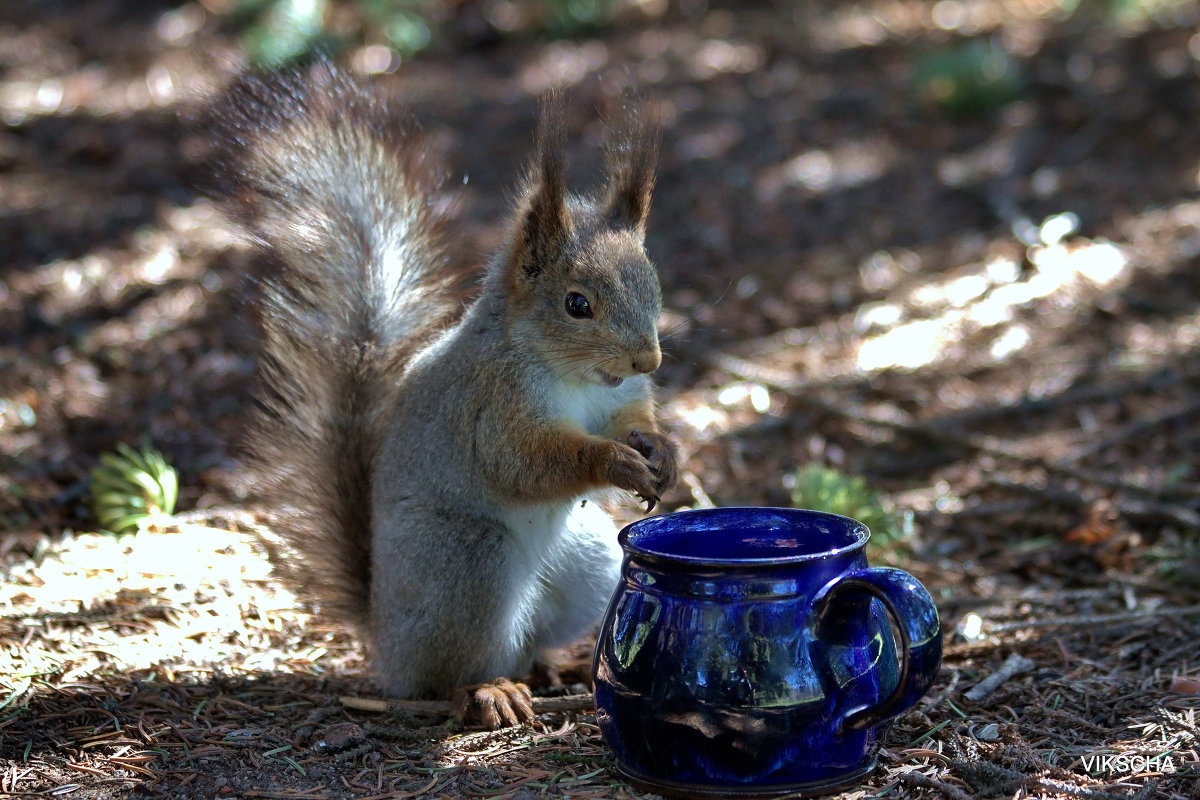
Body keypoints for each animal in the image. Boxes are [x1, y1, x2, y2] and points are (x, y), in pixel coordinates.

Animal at [205, 67, 676, 734]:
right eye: (577, 304)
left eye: (653, 284)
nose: (648, 361)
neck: (574, 374)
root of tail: (383, 640)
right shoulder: (488, 404)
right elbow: (523, 462)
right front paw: (613, 462)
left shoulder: (620, 399)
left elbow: (632, 419)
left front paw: (660, 451)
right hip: (466, 561)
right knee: (445, 674)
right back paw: (487, 692)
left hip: (586, 561)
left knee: (527, 639)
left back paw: (550, 666)